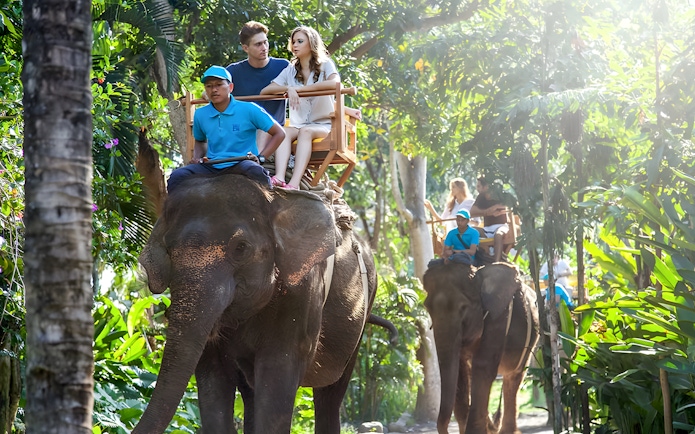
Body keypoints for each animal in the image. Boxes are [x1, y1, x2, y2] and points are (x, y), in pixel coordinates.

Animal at [133, 174, 383, 433]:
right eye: (168, 249)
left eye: (241, 248)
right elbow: (213, 383)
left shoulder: (303, 293)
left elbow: (278, 377)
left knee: (330, 394)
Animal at [423, 262, 539, 434]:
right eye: (427, 308)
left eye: (464, 308)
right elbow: (460, 371)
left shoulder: (498, 317)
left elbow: (483, 367)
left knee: (513, 378)